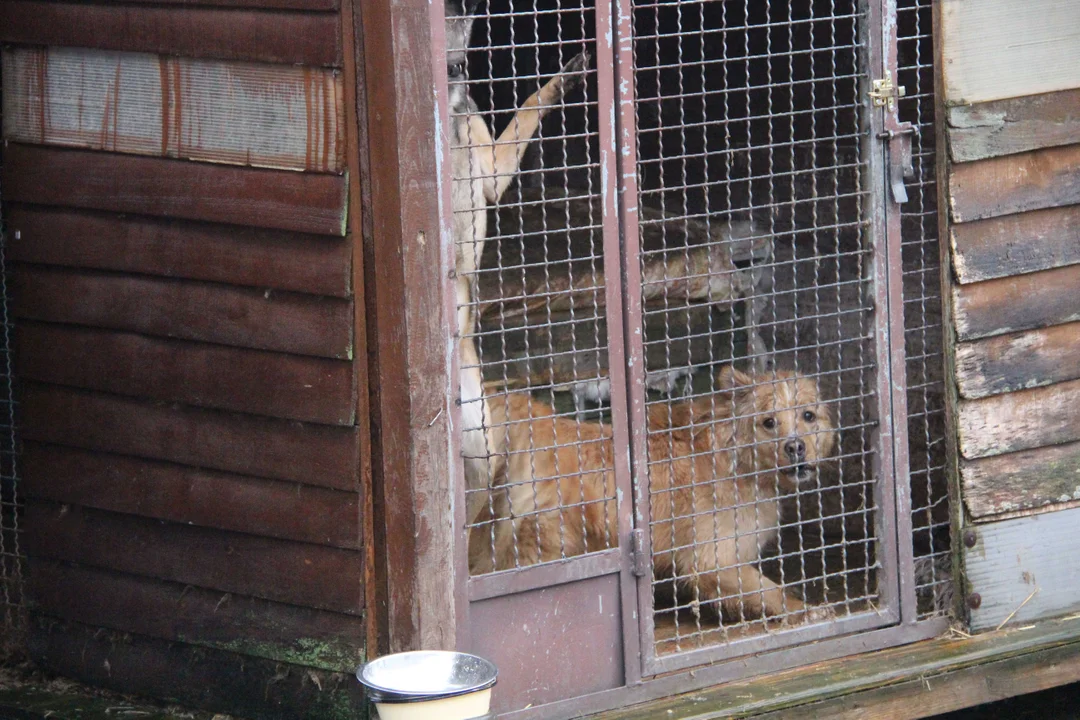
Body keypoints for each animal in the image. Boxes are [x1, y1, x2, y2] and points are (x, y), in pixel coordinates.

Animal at [470, 369, 833, 621]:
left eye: (808, 416)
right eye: (769, 422)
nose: (796, 447)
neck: (732, 456)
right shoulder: (712, 557)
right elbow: (766, 589)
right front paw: (804, 609)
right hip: (543, 544)